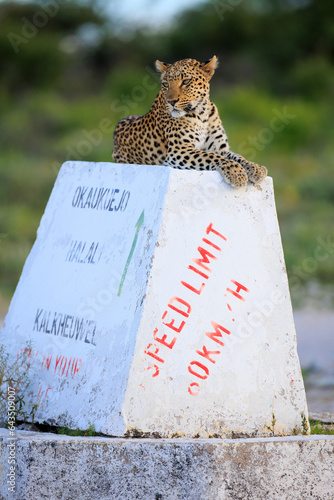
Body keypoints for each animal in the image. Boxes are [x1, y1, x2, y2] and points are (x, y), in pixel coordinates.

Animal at [112, 55, 266, 188]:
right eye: (165, 84)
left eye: (185, 81)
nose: (171, 101)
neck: (202, 114)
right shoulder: (179, 150)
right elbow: (212, 157)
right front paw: (236, 173)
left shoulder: (220, 148)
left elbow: (237, 156)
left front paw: (256, 168)